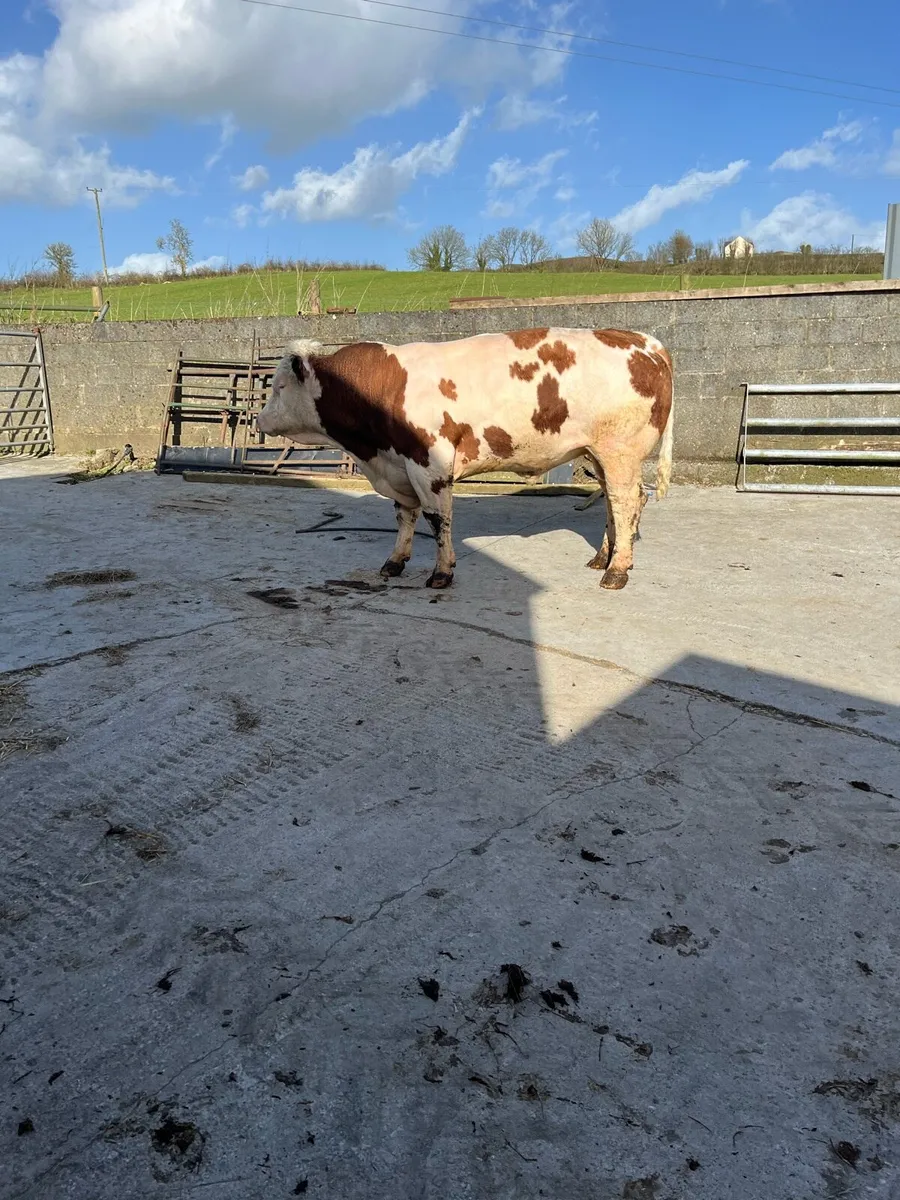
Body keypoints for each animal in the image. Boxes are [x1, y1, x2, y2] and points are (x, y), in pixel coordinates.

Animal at [256, 327, 673, 590]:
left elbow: (437, 518)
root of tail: (643, 341)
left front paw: (441, 572)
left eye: (279, 387)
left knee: (625, 501)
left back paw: (617, 570)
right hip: (600, 454)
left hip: (620, 450)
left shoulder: (430, 464)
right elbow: (404, 516)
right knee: (616, 504)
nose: (259, 419)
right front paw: (395, 561)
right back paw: (604, 557)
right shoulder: (399, 464)